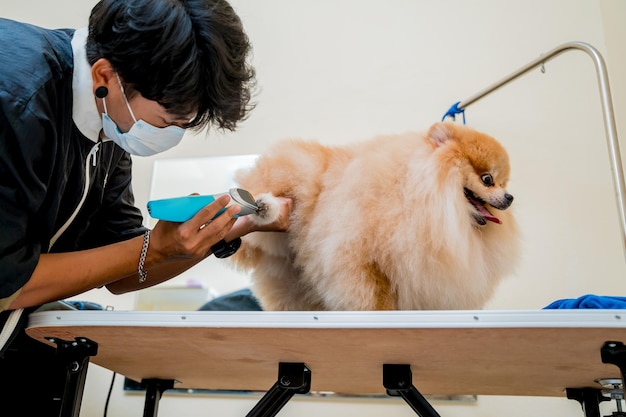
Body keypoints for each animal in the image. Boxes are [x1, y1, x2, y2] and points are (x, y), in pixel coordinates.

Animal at [229, 120, 516, 308]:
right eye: (488, 179)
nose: (509, 198)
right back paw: (264, 207)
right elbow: (377, 302)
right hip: (296, 171)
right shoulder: (365, 262)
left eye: (505, 184)